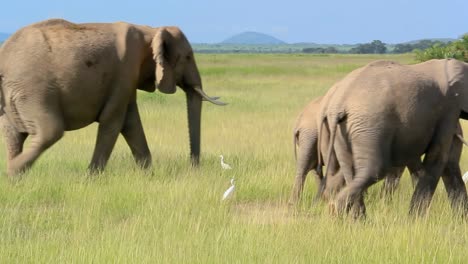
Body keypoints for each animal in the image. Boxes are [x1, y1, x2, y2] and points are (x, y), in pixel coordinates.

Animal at [0, 19, 227, 176]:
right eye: (188, 57)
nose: (194, 168)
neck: (150, 30)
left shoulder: (128, 78)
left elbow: (131, 123)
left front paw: (149, 175)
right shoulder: (125, 70)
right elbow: (113, 121)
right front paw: (91, 179)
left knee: (13, 134)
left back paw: (15, 178)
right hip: (33, 89)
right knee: (50, 131)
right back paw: (13, 171)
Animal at [318, 58, 468, 218]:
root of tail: (339, 102)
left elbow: (449, 163)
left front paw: (461, 219)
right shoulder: (449, 109)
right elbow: (438, 157)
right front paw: (415, 219)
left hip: (344, 130)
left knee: (351, 171)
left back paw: (357, 219)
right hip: (370, 123)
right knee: (374, 170)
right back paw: (335, 211)